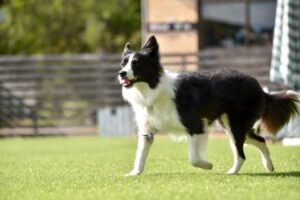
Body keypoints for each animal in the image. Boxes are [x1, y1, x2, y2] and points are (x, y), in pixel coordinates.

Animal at [118, 35, 298, 176]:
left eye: (136, 63)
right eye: (123, 64)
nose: (121, 74)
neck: (152, 89)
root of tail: (258, 86)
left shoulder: (196, 126)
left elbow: (193, 158)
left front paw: (207, 165)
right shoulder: (147, 131)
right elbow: (140, 155)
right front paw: (134, 173)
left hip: (236, 125)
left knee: (241, 153)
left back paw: (232, 172)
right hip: (232, 125)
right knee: (259, 140)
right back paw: (269, 166)